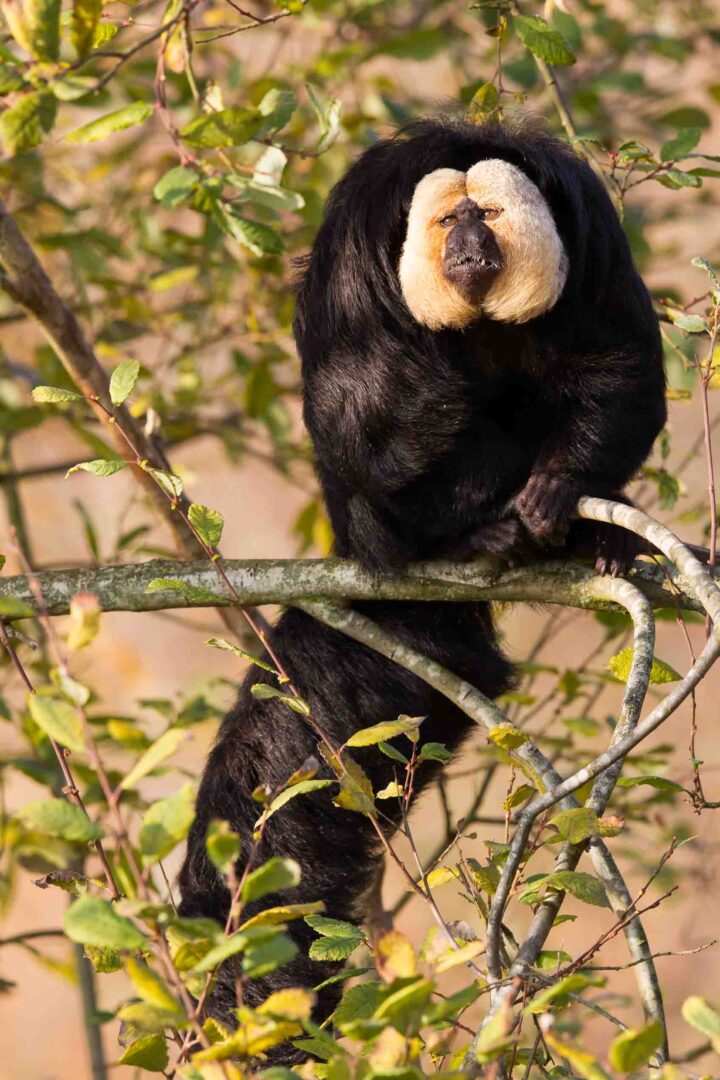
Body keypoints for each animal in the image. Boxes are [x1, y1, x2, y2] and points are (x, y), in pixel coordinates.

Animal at [178, 117, 666, 1057]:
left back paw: (598, 540)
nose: (471, 248)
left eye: (488, 214)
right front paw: (501, 516)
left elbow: (615, 365)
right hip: (375, 545)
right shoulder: (355, 262)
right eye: (447, 223)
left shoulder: (591, 240)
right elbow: (384, 407)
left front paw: (561, 494)